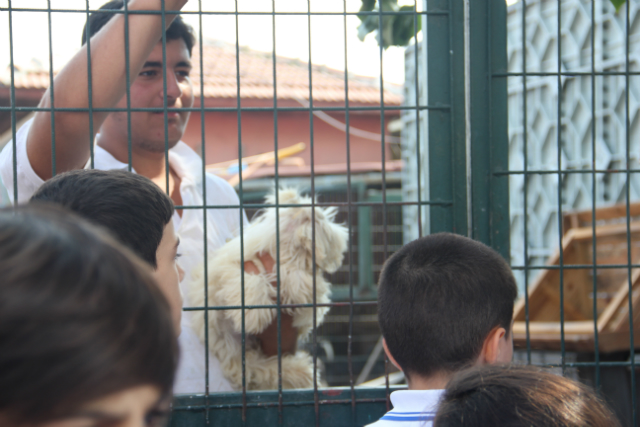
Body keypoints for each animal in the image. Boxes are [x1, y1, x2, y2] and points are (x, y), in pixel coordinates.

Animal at [189, 189, 348, 390]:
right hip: (227, 343)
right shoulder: (226, 270)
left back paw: (300, 372)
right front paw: (253, 314)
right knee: (253, 366)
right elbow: (250, 279)